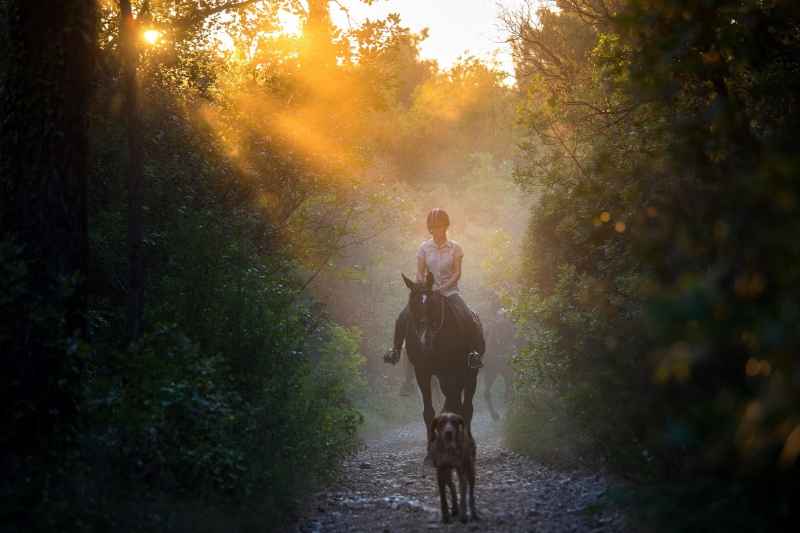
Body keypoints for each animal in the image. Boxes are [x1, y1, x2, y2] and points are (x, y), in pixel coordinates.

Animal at [396, 272, 478, 456]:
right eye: (412, 304)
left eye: (432, 303)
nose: (425, 339)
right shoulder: (422, 372)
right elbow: (429, 411)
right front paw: (430, 448)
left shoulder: (454, 371)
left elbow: (454, 403)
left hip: (470, 373)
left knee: (467, 407)